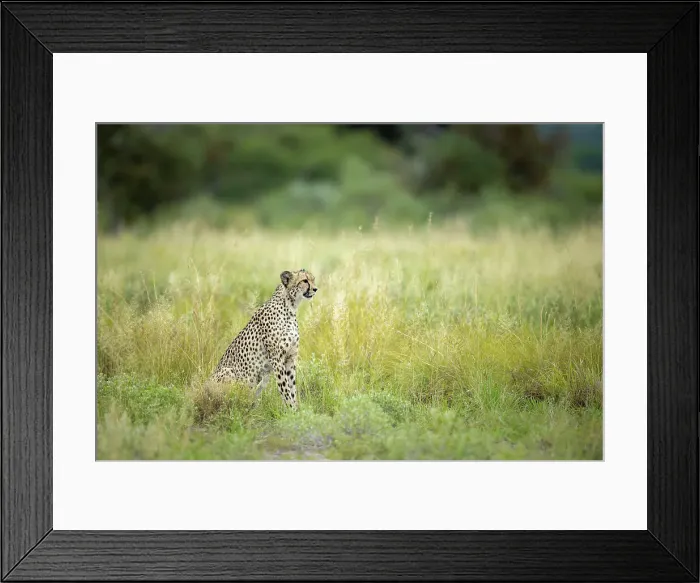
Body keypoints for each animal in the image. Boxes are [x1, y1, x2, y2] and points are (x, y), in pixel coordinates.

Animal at [210, 268, 317, 410]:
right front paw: (290, 409)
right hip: (229, 372)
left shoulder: (290, 358)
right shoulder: (277, 359)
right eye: (304, 281)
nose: (315, 289)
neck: (290, 306)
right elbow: (285, 388)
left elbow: (292, 387)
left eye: (313, 279)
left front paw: (297, 410)